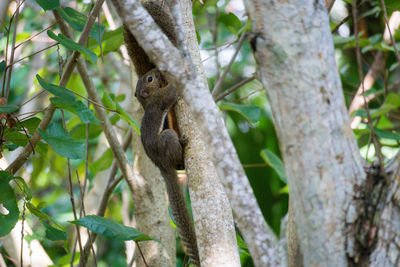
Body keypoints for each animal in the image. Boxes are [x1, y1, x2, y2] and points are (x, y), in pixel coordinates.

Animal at [136, 69, 200, 266]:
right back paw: (183, 143)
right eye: (150, 79)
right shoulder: (161, 98)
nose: (155, 71)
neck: (148, 100)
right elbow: (172, 91)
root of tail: (161, 165)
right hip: (167, 137)